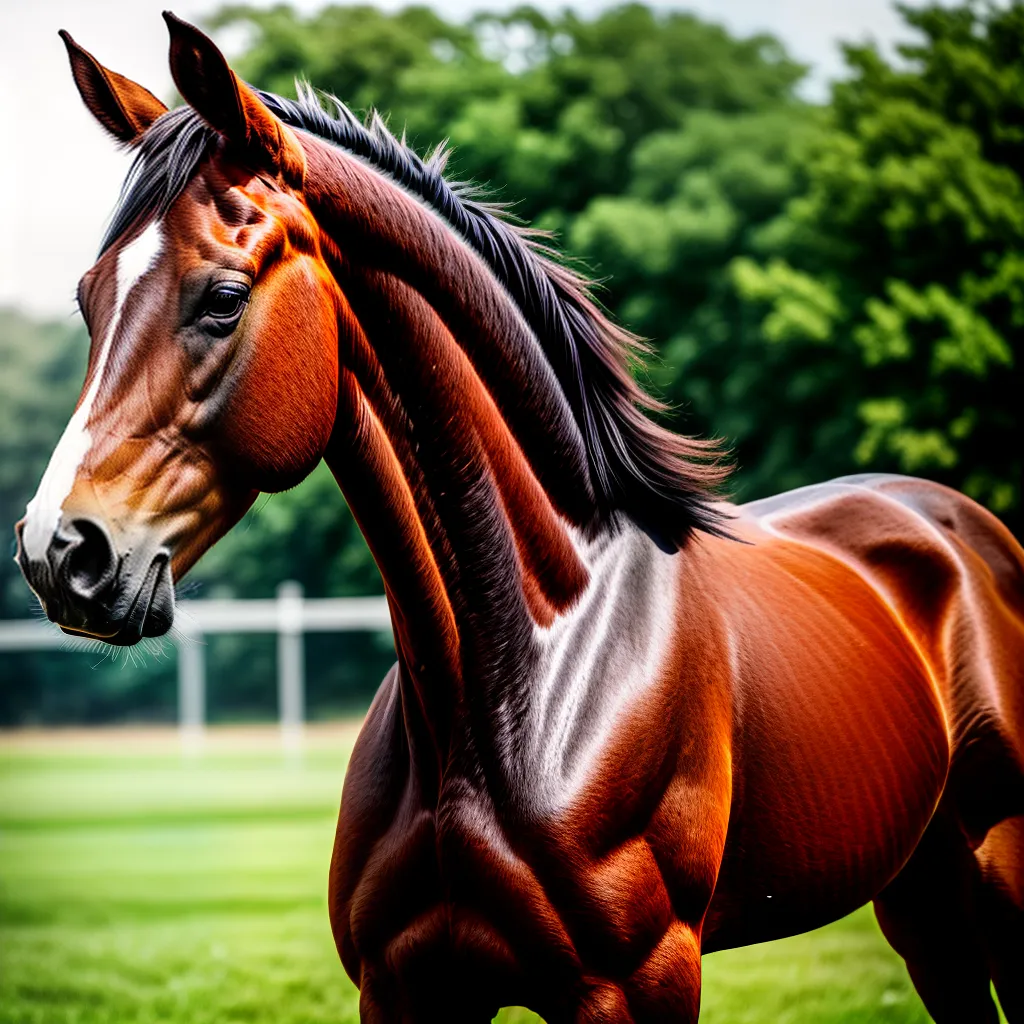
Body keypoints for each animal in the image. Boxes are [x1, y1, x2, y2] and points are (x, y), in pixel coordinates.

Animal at [15, 15, 1024, 1023]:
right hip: (924, 902)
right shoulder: (402, 990)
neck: (528, 673)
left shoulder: (640, 985)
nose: (58, 550)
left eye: (223, 298)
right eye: (88, 299)